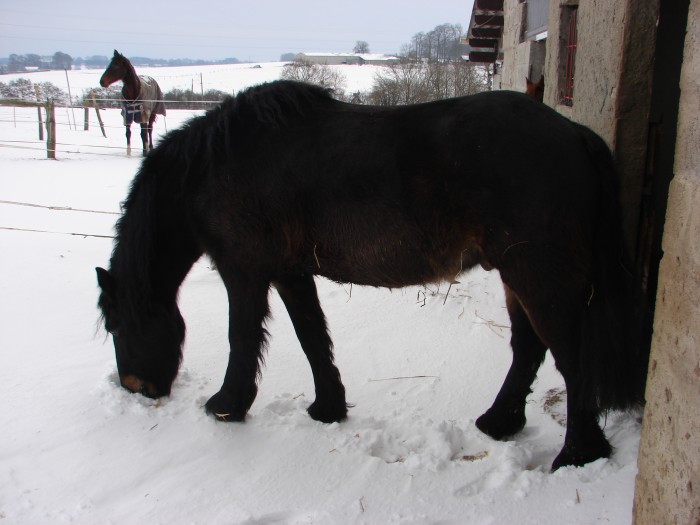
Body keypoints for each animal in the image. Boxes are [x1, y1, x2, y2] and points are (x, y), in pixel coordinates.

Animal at [95, 80, 648, 468]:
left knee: (571, 359)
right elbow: (312, 337)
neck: (214, 167)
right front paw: (328, 407)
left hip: (539, 277)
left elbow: (242, 339)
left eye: (118, 324)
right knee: (529, 347)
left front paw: (228, 406)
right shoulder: (291, 273)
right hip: (517, 276)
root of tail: (575, 133)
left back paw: (577, 455)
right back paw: (500, 423)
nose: (135, 387)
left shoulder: (244, 272)